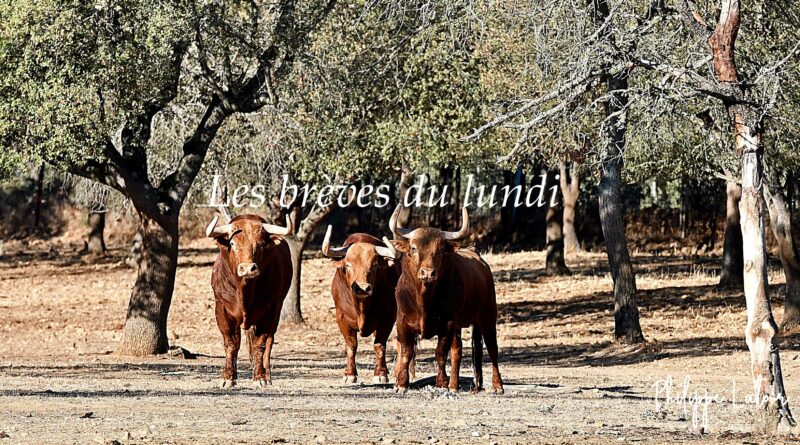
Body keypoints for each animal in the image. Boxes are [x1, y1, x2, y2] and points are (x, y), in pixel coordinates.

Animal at [206, 213, 294, 386]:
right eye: (232, 243)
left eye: (260, 244)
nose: (247, 268)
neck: (244, 292)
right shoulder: (221, 309)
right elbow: (231, 344)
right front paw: (228, 377)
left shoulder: (269, 311)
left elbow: (260, 344)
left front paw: (260, 378)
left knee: (269, 342)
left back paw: (267, 374)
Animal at [322, 227, 404, 384]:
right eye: (348, 264)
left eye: (374, 265)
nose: (363, 288)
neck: (361, 308)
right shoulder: (341, 317)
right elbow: (351, 346)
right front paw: (349, 374)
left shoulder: (387, 318)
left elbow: (379, 345)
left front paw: (380, 374)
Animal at [390, 205, 506, 392]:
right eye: (413, 248)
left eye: (440, 250)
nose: (428, 273)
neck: (424, 300)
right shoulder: (403, 322)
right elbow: (407, 353)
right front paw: (401, 384)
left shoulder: (448, 324)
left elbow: (440, 353)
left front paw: (441, 383)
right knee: (459, 350)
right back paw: (457, 384)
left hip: (488, 316)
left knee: (492, 348)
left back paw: (497, 385)